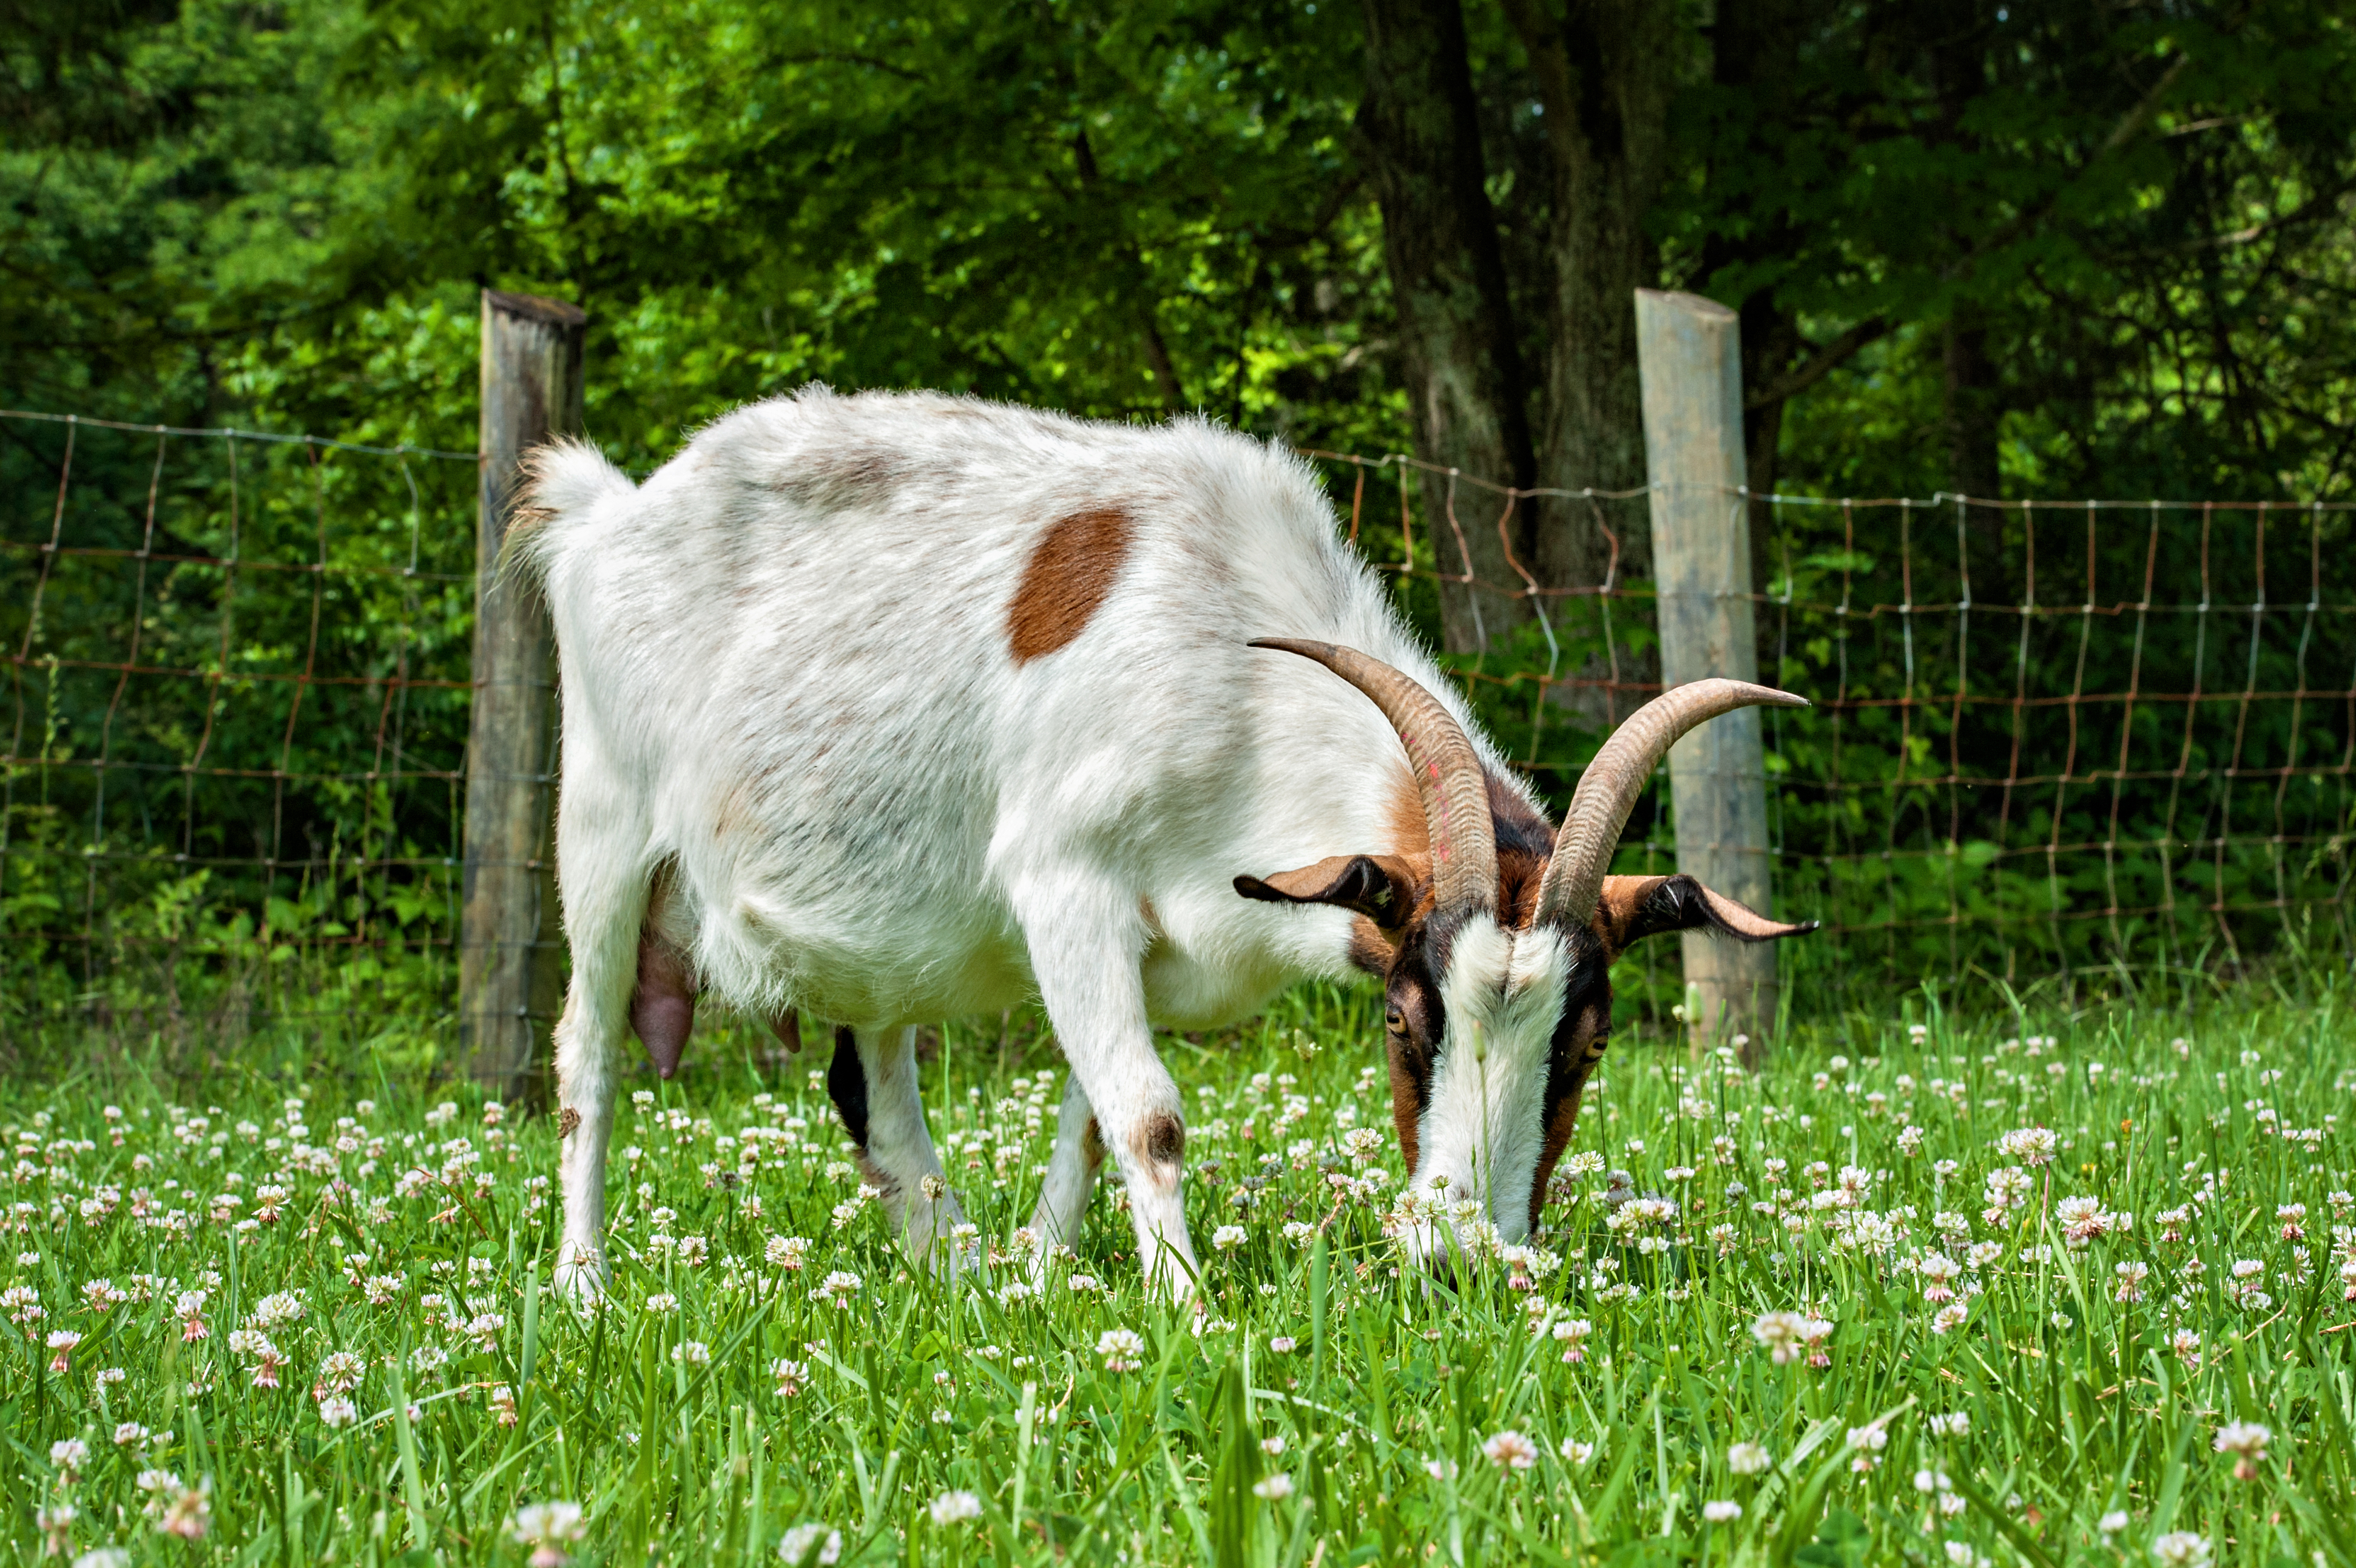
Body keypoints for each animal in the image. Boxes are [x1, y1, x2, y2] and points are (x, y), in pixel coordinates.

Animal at [511, 389, 1800, 1292]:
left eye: (1587, 1044)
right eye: (1401, 1022)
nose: (1459, 1256)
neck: (1235, 659)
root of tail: (604, 511)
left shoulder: (1156, 944)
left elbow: (1089, 1114)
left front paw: (1037, 1277)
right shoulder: (1064, 883)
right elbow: (1148, 1113)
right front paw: (1186, 1311)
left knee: (871, 1076)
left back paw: (948, 1262)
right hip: (603, 828)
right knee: (586, 1060)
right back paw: (584, 1287)